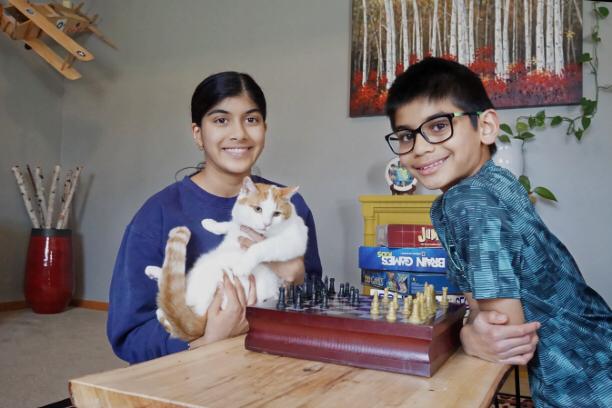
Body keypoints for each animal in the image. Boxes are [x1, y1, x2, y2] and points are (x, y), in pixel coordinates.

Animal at [145, 176, 308, 341]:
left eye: (276, 214)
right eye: (258, 209)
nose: (266, 224)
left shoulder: (293, 240)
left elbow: (261, 247)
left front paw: (244, 264)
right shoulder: (238, 224)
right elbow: (230, 224)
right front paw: (211, 224)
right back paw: (154, 272)